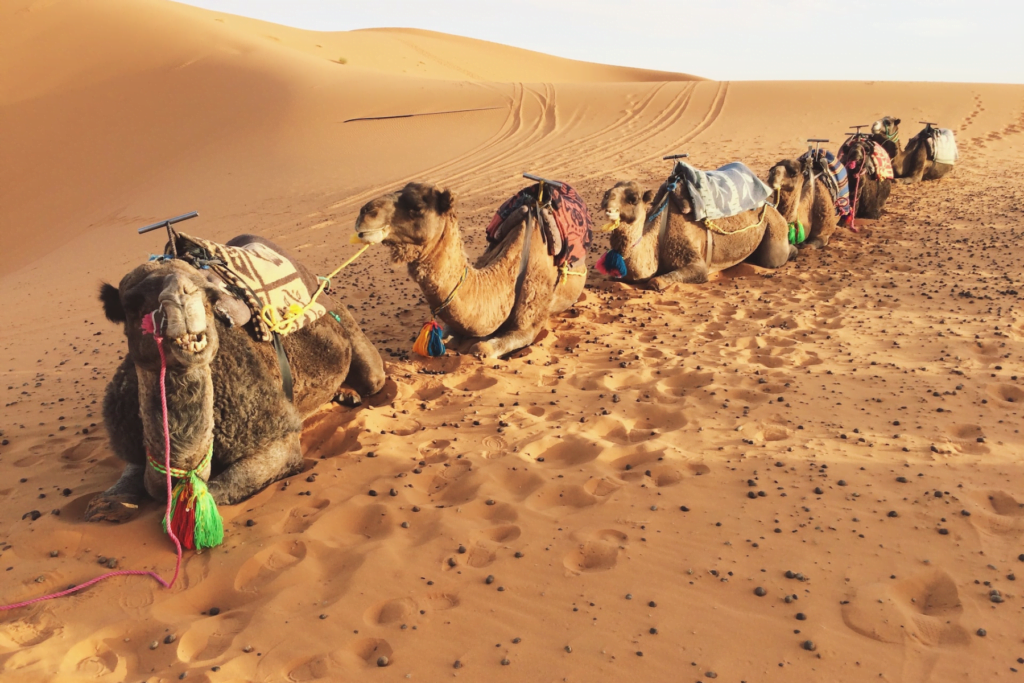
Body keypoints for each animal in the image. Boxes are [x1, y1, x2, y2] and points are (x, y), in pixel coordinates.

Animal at [87, 235, 385, 524]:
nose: (181, 296)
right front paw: (108, 503)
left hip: (345, 324)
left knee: (373, 376)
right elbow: (132, 478)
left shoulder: (277, 439)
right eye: (131, 304)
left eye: (209, 295)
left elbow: (212, 493)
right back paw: (345, 394)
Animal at [598, 178, 796, 290]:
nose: (606, 202)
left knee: (774, 258)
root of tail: (770, 205)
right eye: (608, 193)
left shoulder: (693, 259)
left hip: (773, 224)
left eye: (633, 198)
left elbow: (655, 282)